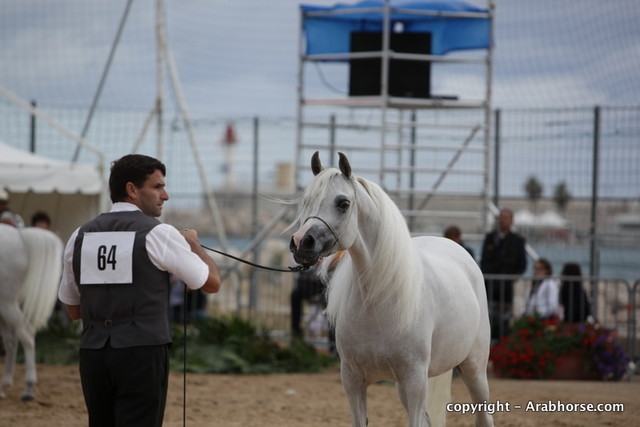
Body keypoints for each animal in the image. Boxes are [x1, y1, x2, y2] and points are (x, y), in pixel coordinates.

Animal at [0, 223, 64, 401]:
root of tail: (20, 236)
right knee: (11, 340)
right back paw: (4, 385)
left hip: (6, 303)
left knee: (26, 335)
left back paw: (28, 388)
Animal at [289, 152, 493, 427]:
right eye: (306, 201)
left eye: (343, 203)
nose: (301, 243)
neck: (376, 300)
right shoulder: (353, 380)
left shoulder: (415, 380)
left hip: (474, 369)